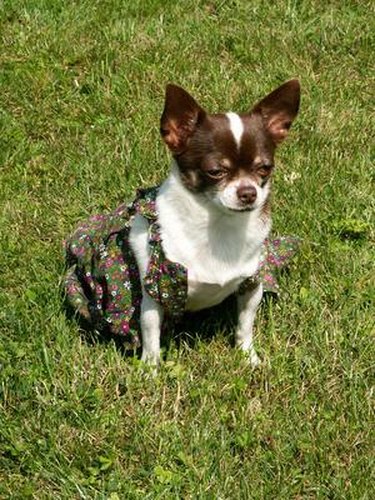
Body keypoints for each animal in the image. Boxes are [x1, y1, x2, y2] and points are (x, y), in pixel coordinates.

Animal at [128, 79, 302, 368]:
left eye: (264, 168)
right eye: (216, 171)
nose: (248, 192)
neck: (218, 223)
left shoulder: (251, 284)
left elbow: (245, 325)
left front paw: (248, 357)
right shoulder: (154, 294)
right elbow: (150, 333)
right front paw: (150, 370)